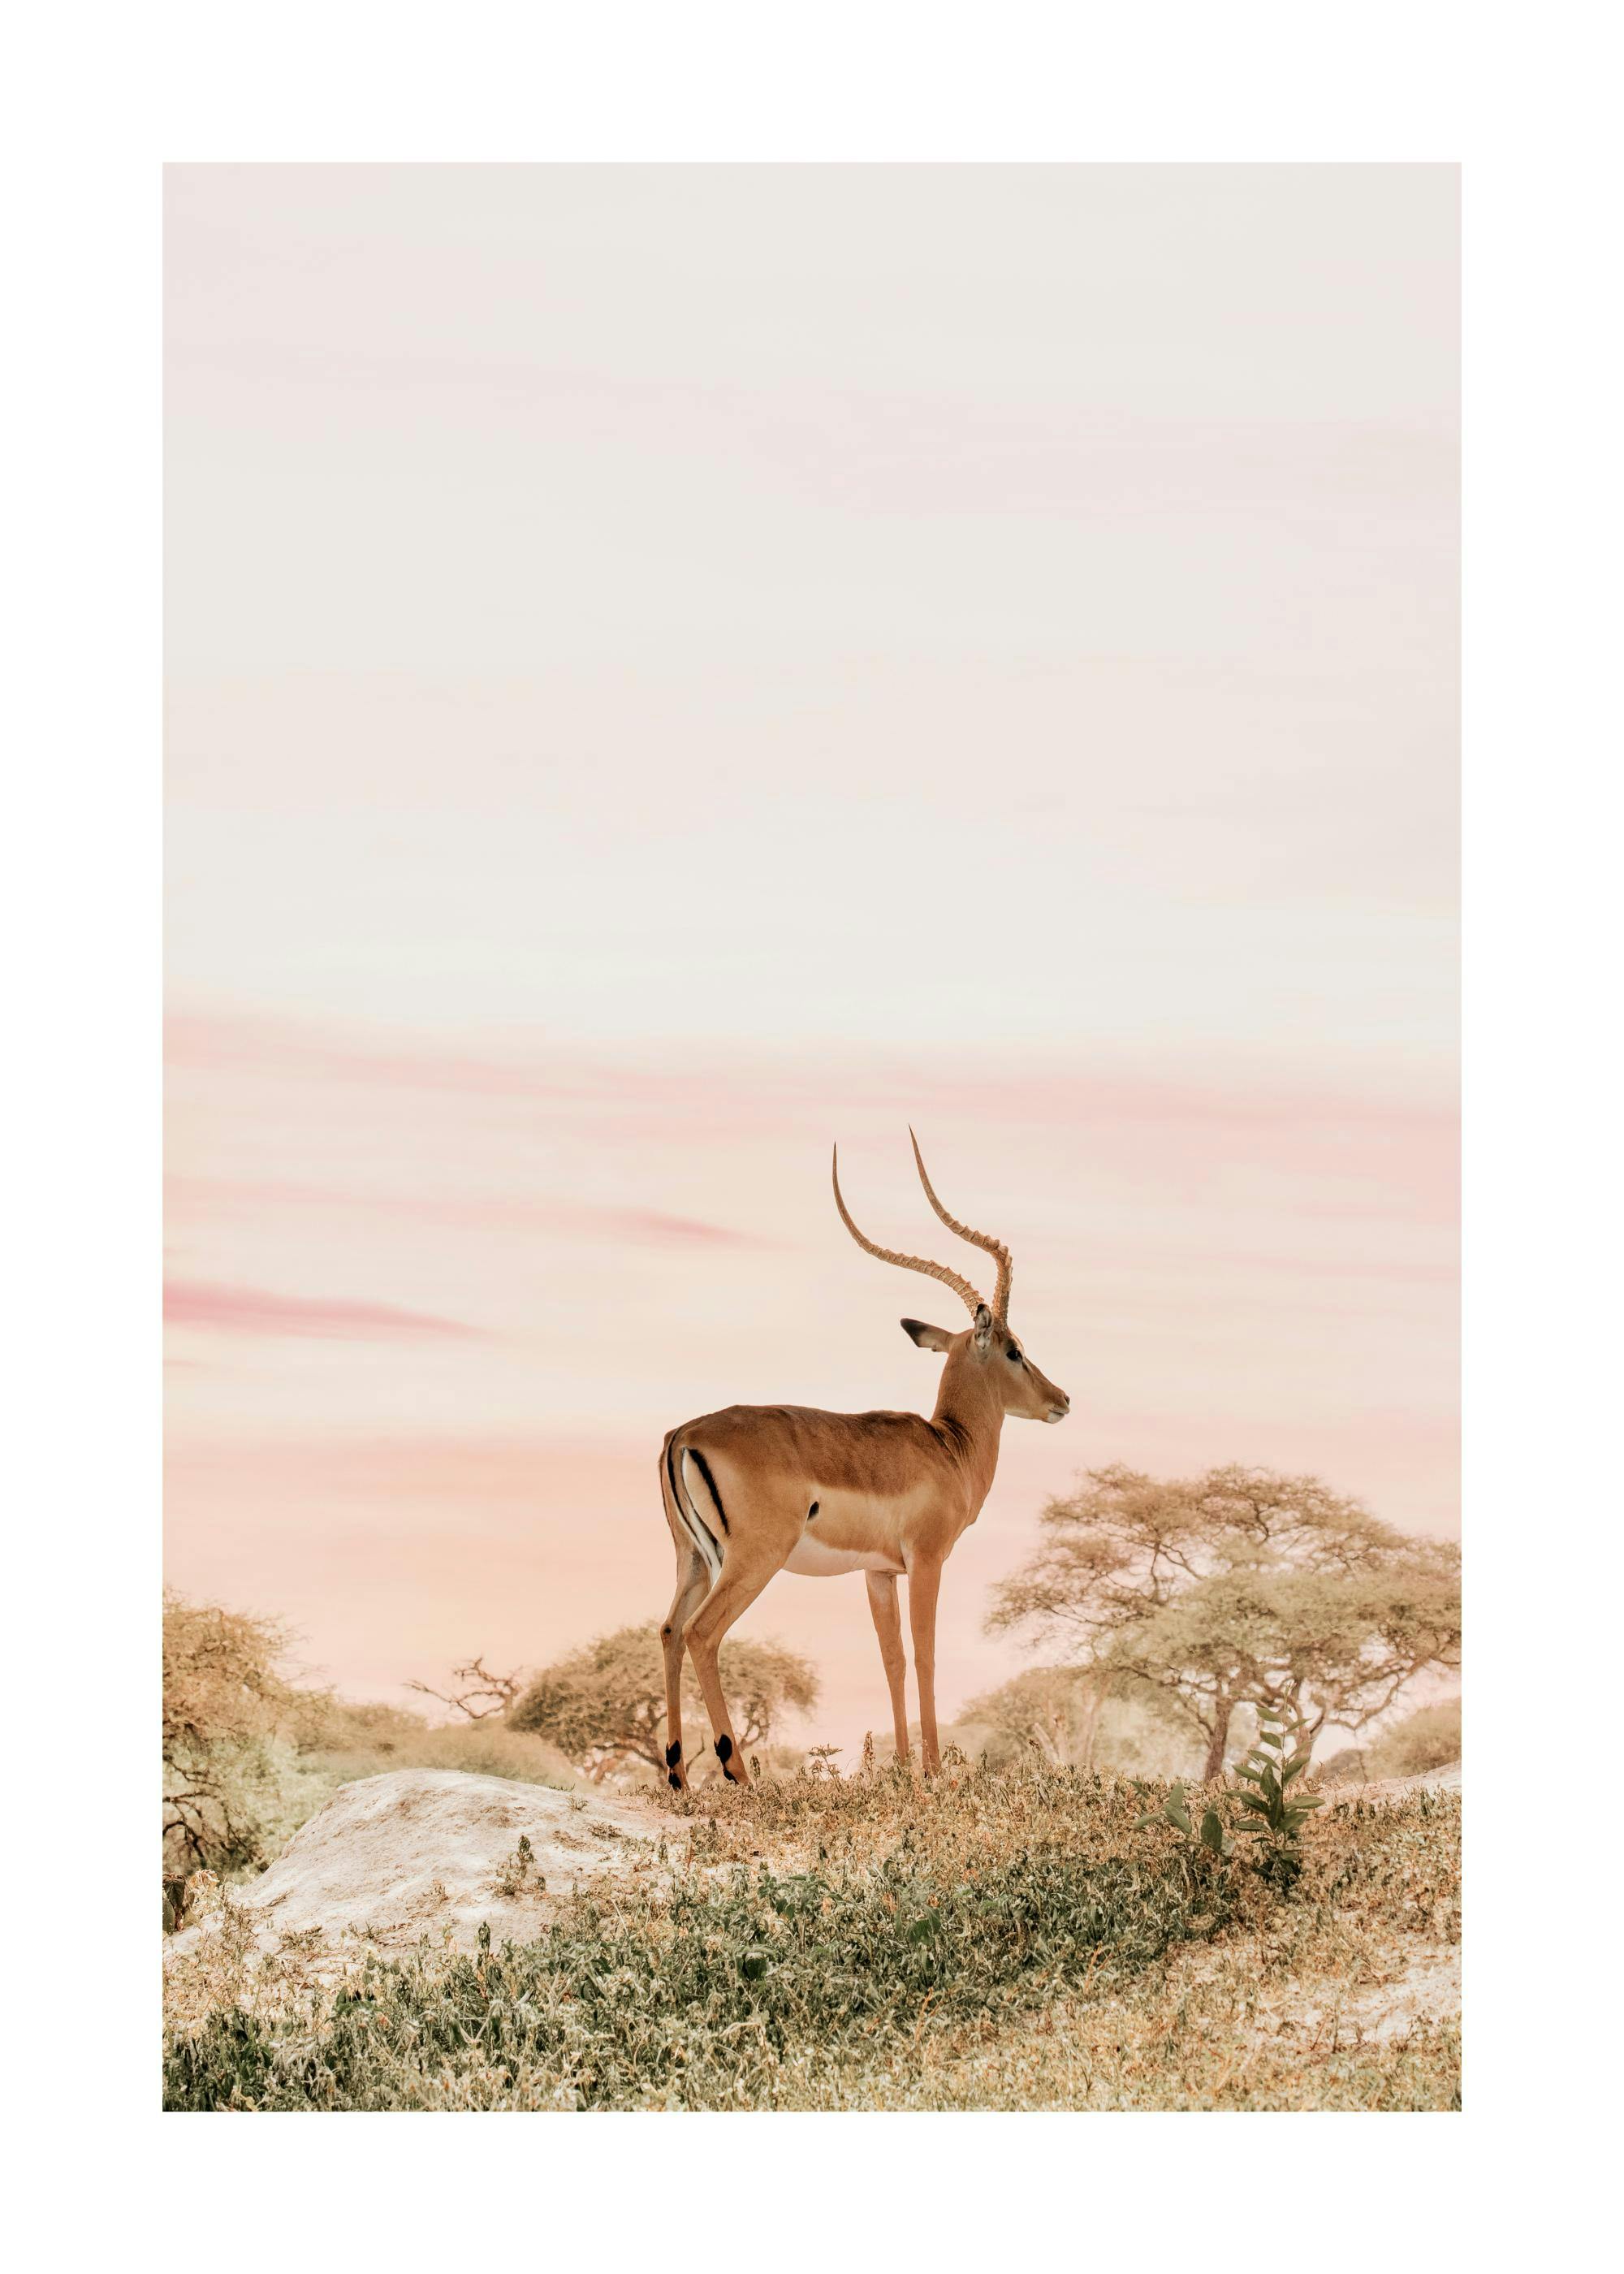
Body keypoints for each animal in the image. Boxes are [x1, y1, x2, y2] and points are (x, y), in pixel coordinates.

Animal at [657, 1132, 1069, 1790]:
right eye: (1014, 1350)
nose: (1062, 1400)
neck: (949, 1448)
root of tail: (683, 1434)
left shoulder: (878, 1573)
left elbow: (892, 1660)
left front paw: (900, 1770)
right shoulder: (926, 1562)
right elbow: (925, 1656)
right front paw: (932, 1773)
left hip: (692, 1558)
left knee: (670, 1630)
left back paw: (676, 1775)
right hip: (753, 1561)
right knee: (703, 1633)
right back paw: (738, 1773)